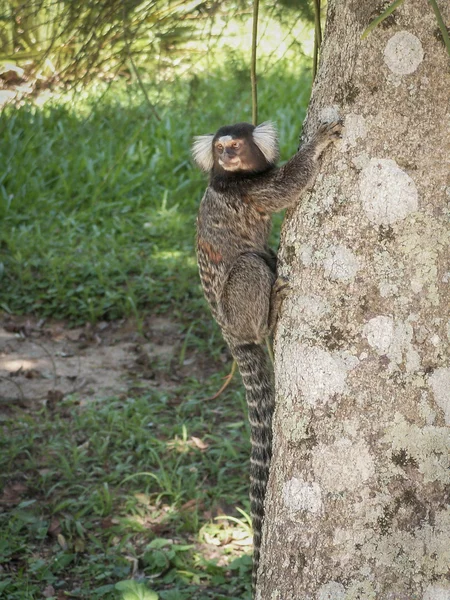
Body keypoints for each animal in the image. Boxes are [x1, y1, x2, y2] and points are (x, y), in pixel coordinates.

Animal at [192, 118, 342, 596]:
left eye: (234, 146)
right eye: (221, 149)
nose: (226, 157)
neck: (231, 177)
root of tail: (231, 335)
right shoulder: (248, 191)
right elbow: (287, 187)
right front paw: (316, 146)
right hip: (238, 306)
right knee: (250, 265)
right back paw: (272, 308)